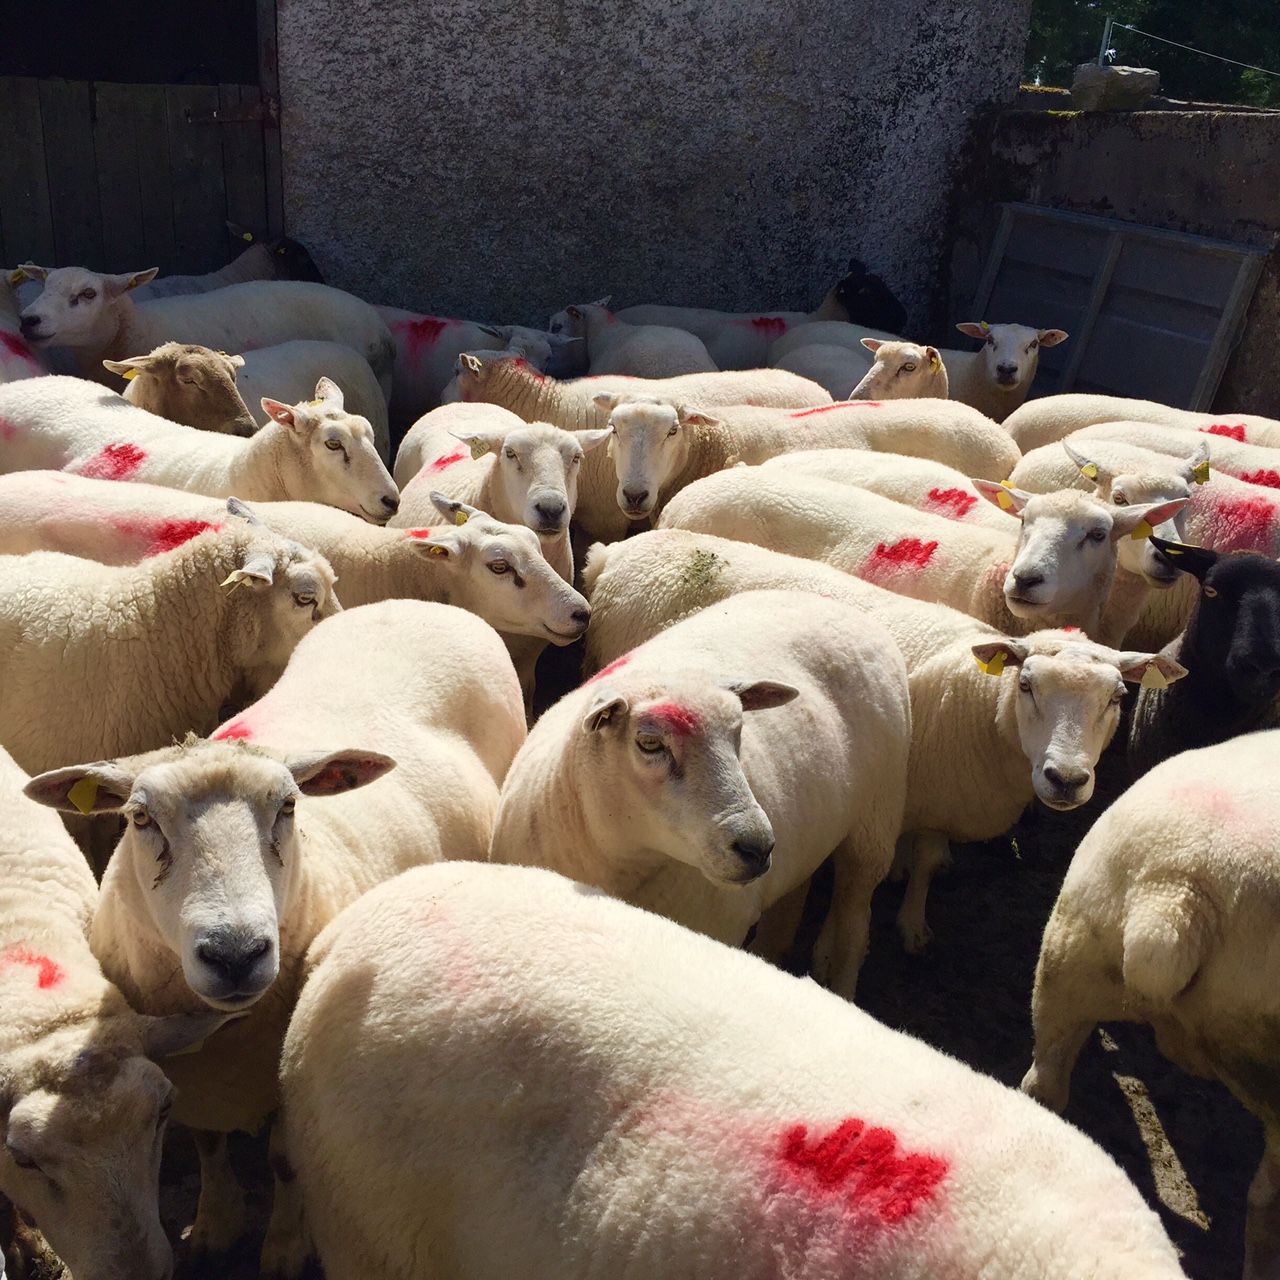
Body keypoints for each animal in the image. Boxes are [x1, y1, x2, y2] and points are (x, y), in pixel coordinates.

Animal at [24, 599, 526, 1264]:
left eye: (289, 806)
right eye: (140, 817)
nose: (236, 953)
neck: (233, 1036)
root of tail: (419, 603)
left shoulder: (296, 1087)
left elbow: (285, 1163)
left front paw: (284, 1249)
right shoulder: (195, 1071)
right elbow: (208, 1145)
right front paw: (214, 1224)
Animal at [491, 589, 910, 999]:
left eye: (739, 731)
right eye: (649, 743)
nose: (757, 847)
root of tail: (849, 607)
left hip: (876, 822)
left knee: (855, 926)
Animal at [581, 528, 1183, 950]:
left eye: (1118, 698)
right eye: (1027, 684)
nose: (1067, 778)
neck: (976, 699)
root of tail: (617, 551)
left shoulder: (933, 797)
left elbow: (929, 861)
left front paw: (913, 919)